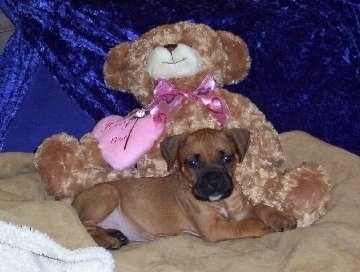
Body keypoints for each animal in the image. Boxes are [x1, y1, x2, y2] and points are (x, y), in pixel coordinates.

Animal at [71, 129, 296, 250]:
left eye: (227, 158)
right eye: (192, 163)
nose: (213, 181)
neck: (221, 201)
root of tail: (74, 200)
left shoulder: (239, 210)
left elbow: (260, 207)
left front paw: (280, 218)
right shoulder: (214, 228)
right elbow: (245, 225)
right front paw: (263, 226)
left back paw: (116, 234)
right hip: (108, 193)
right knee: (86, 226)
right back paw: (108, 240)